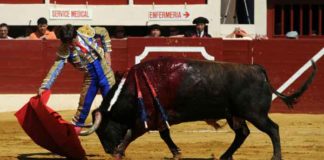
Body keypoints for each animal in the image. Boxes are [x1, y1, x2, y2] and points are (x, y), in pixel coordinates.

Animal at [79, 57, 316, 160]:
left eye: (103, 130)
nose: (108, 151)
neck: (133, 88)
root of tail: (257, 69)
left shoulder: (145, 120)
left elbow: (130, 133)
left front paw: (120, 152)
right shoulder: (160, 119)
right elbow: (165, 135)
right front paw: (176, 153)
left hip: (255, 114)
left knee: (273, 129)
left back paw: (276, 157)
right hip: (235, 115)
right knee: (242, 133)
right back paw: (224, 156)